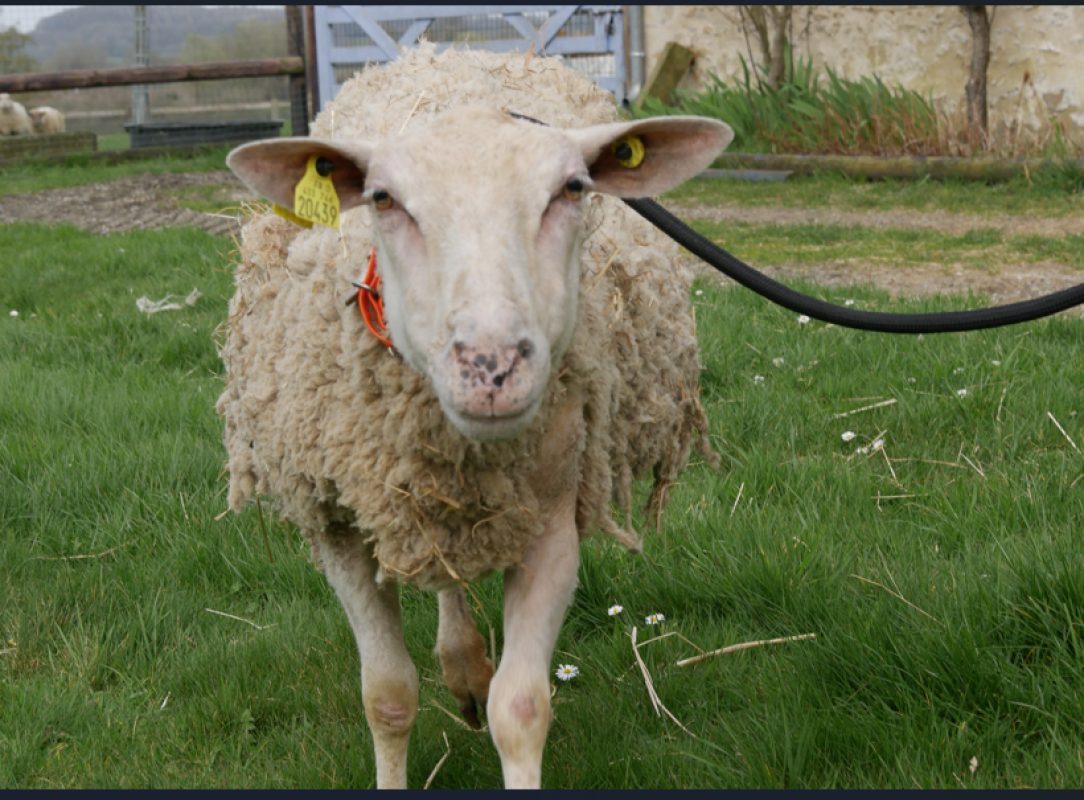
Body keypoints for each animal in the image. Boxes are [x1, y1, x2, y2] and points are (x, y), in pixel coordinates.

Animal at [219, 43, 733, 789]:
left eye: (572, 188)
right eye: (383, 198)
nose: (491, 366)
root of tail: (453, 49)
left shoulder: (551, 521)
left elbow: (519, 709)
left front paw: (498, 705)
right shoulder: (339, 524)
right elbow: (387, 698)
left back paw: (465, 667)